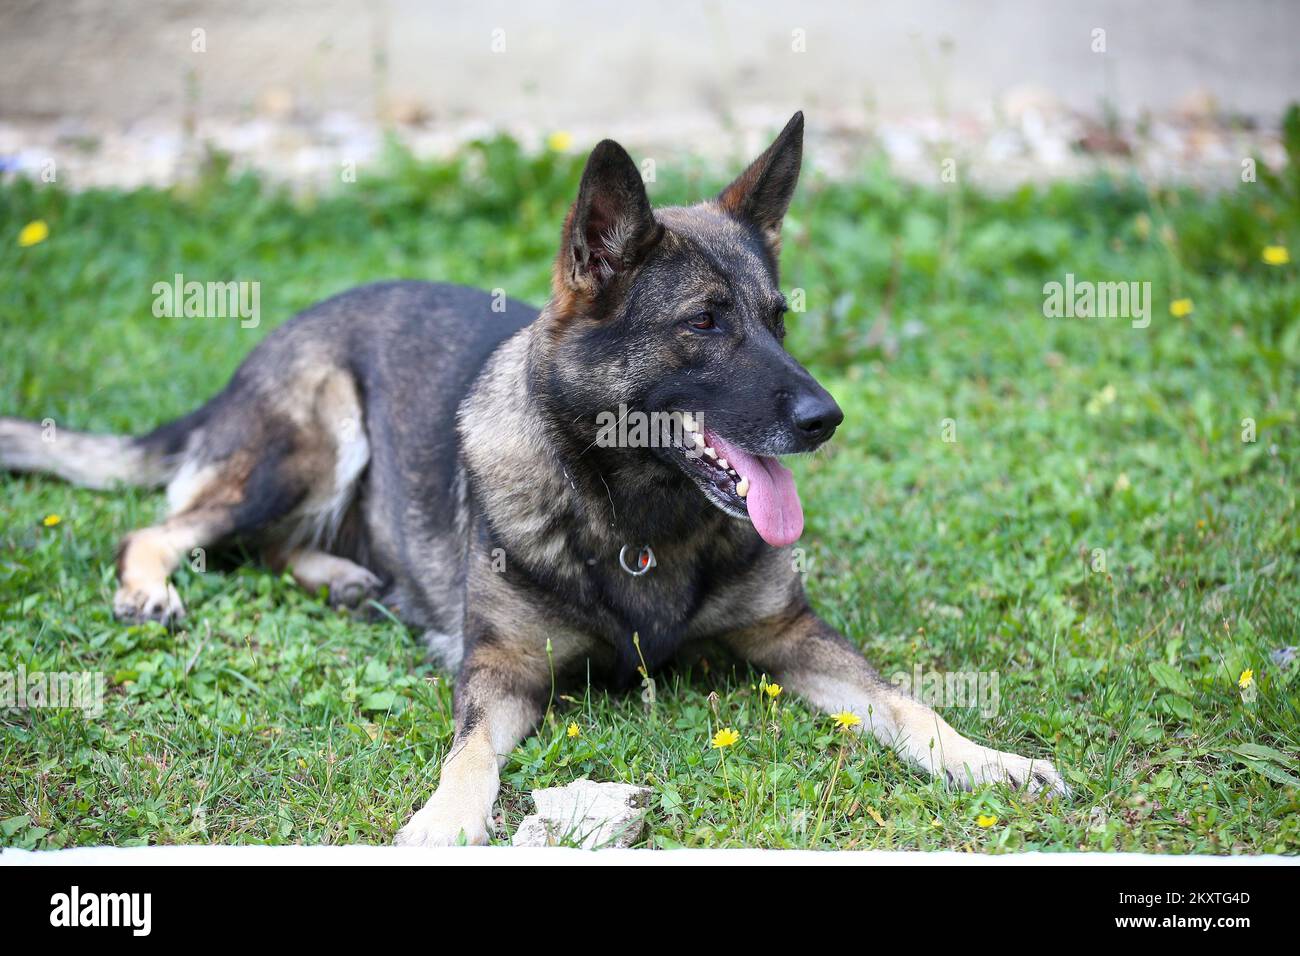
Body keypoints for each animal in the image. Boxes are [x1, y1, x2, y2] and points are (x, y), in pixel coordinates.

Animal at [0, 113, 1066, 842]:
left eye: (778, 319)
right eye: (706, 323)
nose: (826, 419)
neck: (636, 518)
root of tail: (256, 354)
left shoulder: (793, 637)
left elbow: (910, 703)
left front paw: (989, 761)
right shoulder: (501, 672)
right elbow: (468, 753)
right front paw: (445, 821)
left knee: (265, 545)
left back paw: (344, 578)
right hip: (312, 440)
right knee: (168, 526)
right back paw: (154, 589)